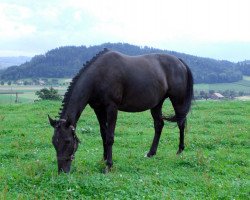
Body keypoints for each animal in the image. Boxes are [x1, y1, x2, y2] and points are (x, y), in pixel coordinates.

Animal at [48, 48, 193, 173]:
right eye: (54, 141)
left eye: (68, 141)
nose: (62, 171)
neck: (99, 75)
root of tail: (180, 61)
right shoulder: (98, 109)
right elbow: (103, 134)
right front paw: (104, 159)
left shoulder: (112, 108)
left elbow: (110, 137)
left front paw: (109, 165)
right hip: (157, 103)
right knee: (159, 125)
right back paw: (151, 153)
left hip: (177, 100)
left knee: (181, 123)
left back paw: (180, 151)